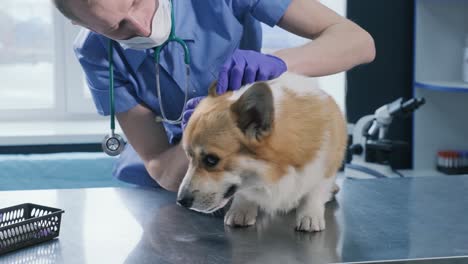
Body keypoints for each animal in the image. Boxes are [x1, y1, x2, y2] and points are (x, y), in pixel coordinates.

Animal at [177, 71, 346, 231]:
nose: (181, 201)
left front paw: (310, 217)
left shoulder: (325, 168)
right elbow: (244, 194)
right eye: (189, 156)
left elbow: (314, 193)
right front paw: (241, 211)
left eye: (211, 160)